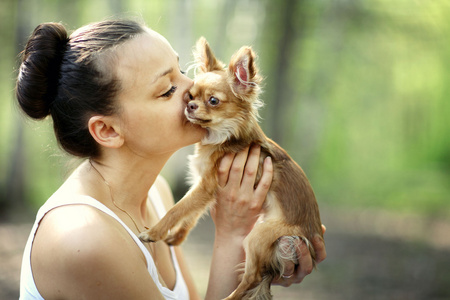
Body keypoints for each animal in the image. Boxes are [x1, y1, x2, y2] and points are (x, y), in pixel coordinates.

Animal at [141, 37, 324, 300]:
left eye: (213, 101)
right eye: (190, 95)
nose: (190, 106)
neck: (222, 138)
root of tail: (311, 236)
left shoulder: (206, 186)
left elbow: (177, 209)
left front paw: (154, 233)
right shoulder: (204, 186)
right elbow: (191, 214)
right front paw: (176, 237)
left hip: (258, 236)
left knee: (252, 277)